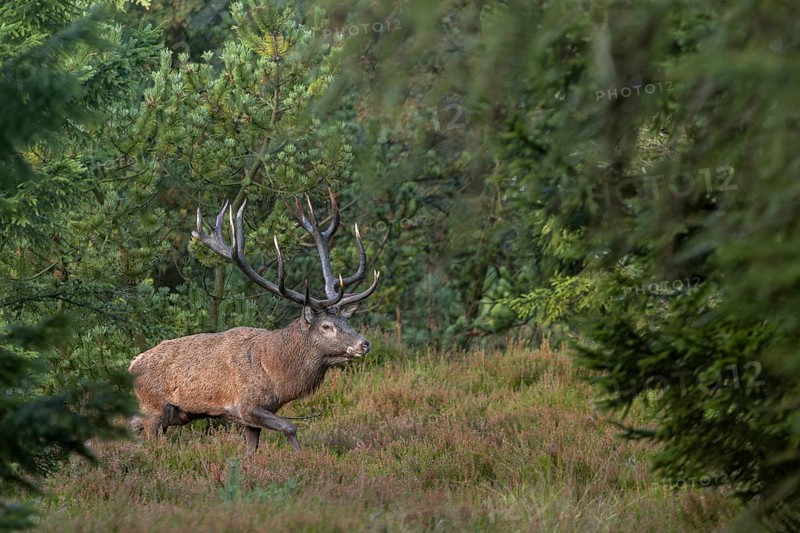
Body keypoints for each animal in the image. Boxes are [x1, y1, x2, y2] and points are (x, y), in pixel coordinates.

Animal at [128, 191, 379, 453]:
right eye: (326, 326)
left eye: (346, 319)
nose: (364, 343)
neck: (276, 375)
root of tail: (131, 364)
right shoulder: (247, 405)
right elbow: (291, 427)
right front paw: (300, 456)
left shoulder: (250, 419)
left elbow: (251, 450)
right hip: (155, 408)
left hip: (171, 413)